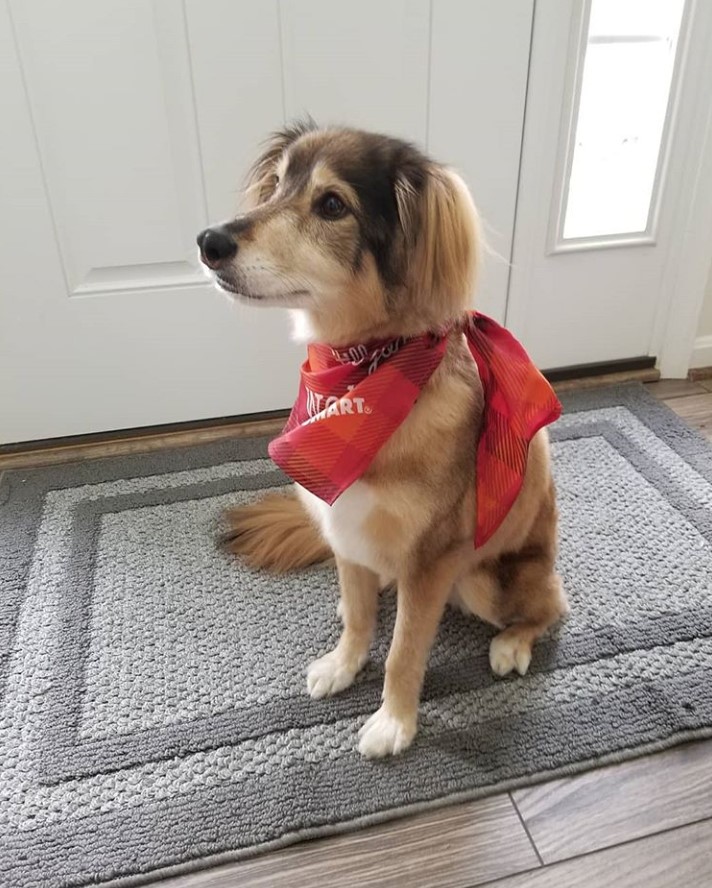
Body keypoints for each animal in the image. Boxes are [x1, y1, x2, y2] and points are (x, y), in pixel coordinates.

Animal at [196, 121, 568, 760]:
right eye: (277, 184)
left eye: (331, 205)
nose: (209, 241)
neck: (361, 370)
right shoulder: (344, 527)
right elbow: (360, 621)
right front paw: (344, 665)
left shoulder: (431, 561)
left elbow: (403, 652)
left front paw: (394, 722)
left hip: (489, 580)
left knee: (551, 607)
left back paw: (512, 644)